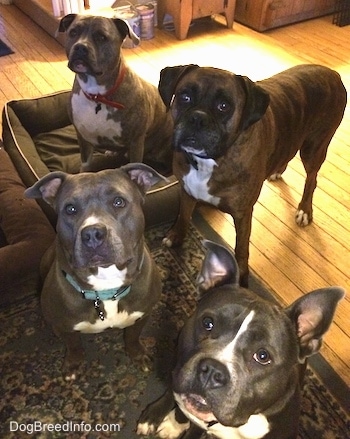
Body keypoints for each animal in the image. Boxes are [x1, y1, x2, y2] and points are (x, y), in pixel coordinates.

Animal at [25, 163, 167, 380]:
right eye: (70, 209)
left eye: (118, 202)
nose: (92, 233)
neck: (106, 287)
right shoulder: (64, 327)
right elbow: (73, 345)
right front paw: (74, 364)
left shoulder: (143, 314)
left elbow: (133, 337)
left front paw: (138, 354)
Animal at [58, 13, 174, 174]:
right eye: (73, 32)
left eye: (101, 37)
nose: (80, 47)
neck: (97, 95)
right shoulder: (82, 138)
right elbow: (86, 165)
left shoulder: (136, 141)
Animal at [159, 63, 348, 288]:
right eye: (185, 97)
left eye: (224, 106)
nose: (197, 118)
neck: (209, 161)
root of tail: (331, 72)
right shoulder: (187, 191)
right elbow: (183, 216)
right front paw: (175, 236)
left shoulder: (242, 214)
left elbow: (241, 248)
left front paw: (241, 277)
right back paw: (277, 171)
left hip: (313, 148)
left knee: (312, 179)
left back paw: (304, 210)